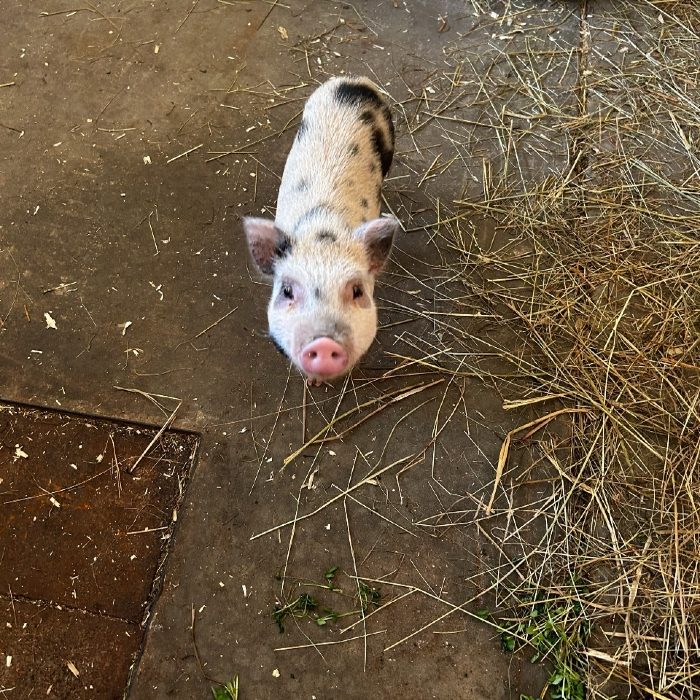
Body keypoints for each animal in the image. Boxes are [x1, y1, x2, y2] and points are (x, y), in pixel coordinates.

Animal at [243, 76, 399, 385]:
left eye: (357, 290)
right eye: (287, 290)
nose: (324, 343)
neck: (322, 232)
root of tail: (352, 80)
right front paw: (313, 383)